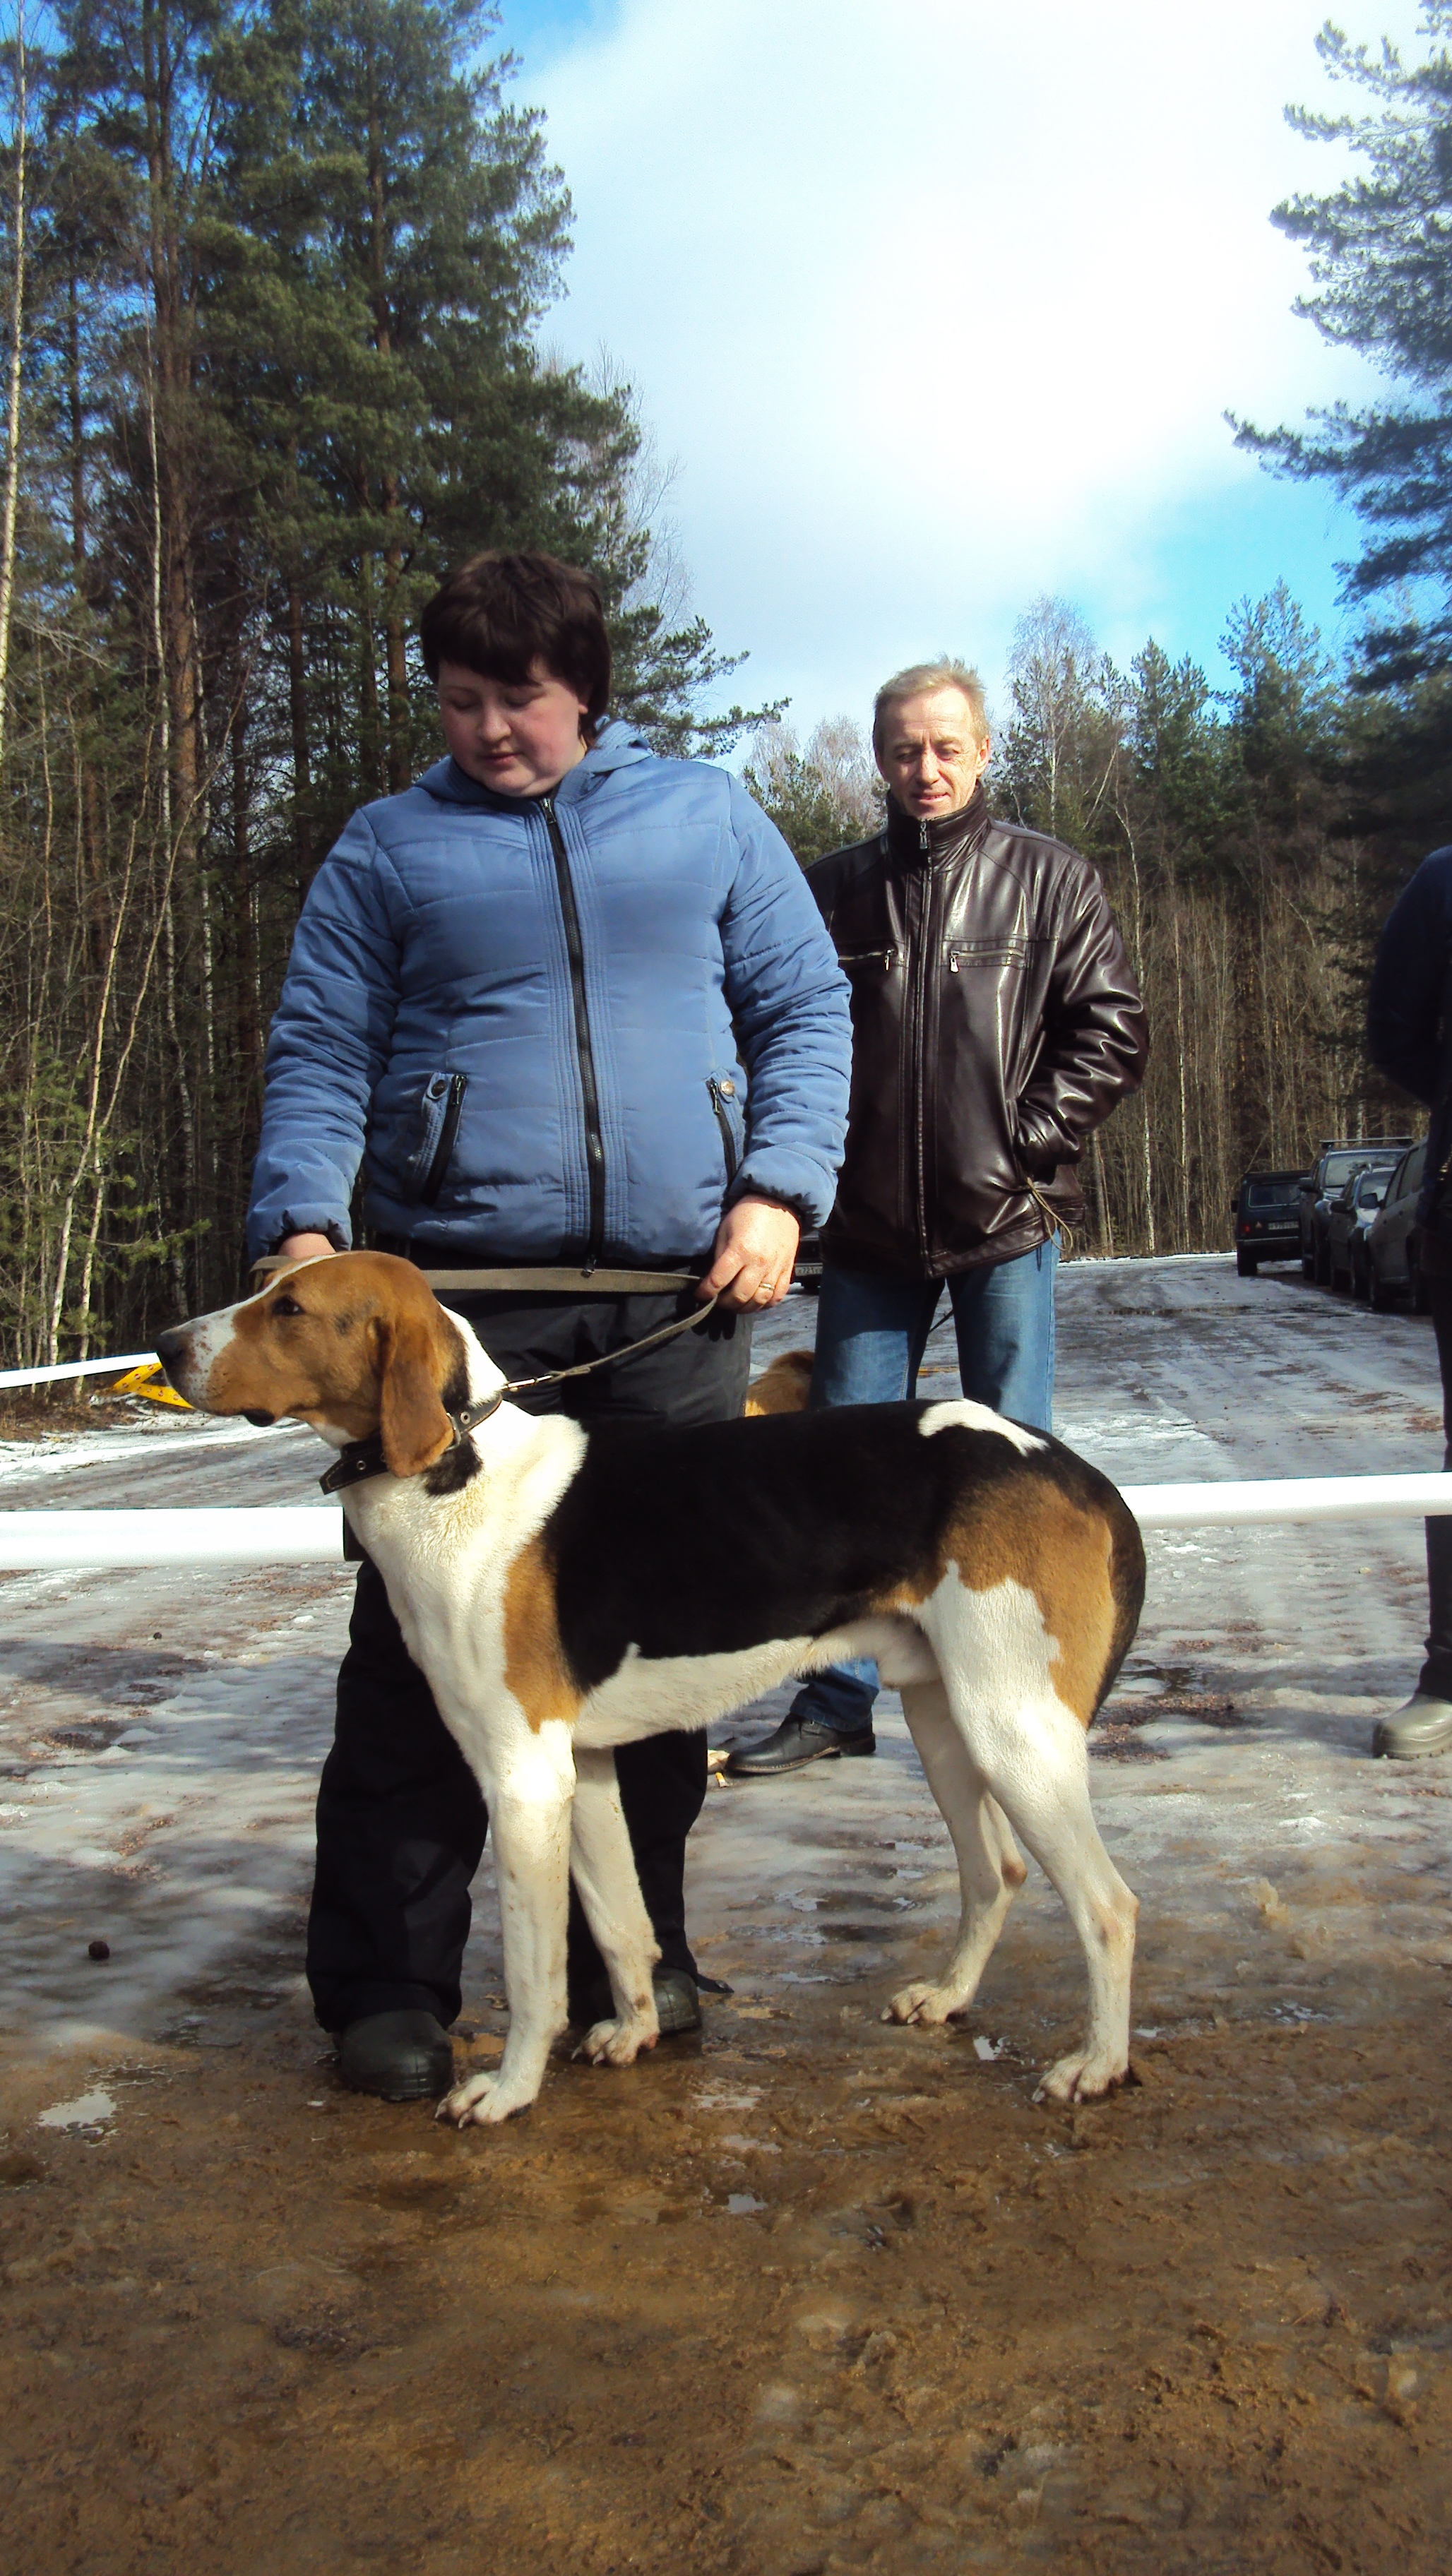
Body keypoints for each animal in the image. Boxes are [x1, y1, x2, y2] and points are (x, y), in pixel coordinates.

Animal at [157, 1253, 1146, 2128]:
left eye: (290, 1309)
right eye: (265, 1286)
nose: (166, 1347)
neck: (459, 1467)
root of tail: (1071, 1468)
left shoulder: (522, 1780)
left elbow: (534, 1971)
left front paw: (509, 2091)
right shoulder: (582, 1769)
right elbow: (622, 1924)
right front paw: (634, 2032)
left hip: (1014, 1732)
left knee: (1107, 1907)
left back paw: (1096, 2065)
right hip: (949, 1721)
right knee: (995, 1873)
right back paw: (947, 1996)